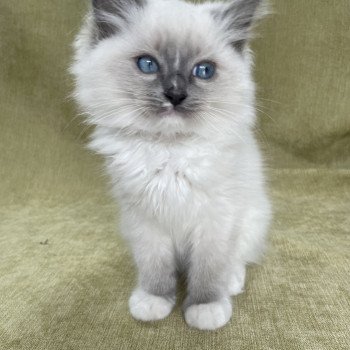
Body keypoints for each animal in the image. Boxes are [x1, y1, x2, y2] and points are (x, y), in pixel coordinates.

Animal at [71, 0, 270, 330]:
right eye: (147, 65)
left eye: (204, 71)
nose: (175, 94)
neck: (169, 150)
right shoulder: (146, 222)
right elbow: (155, 268)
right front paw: (155, 301)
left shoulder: (215, 220)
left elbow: (209, 270)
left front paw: (205, 309)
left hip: (251, 218)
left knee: (237, 258)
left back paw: (232, 282)